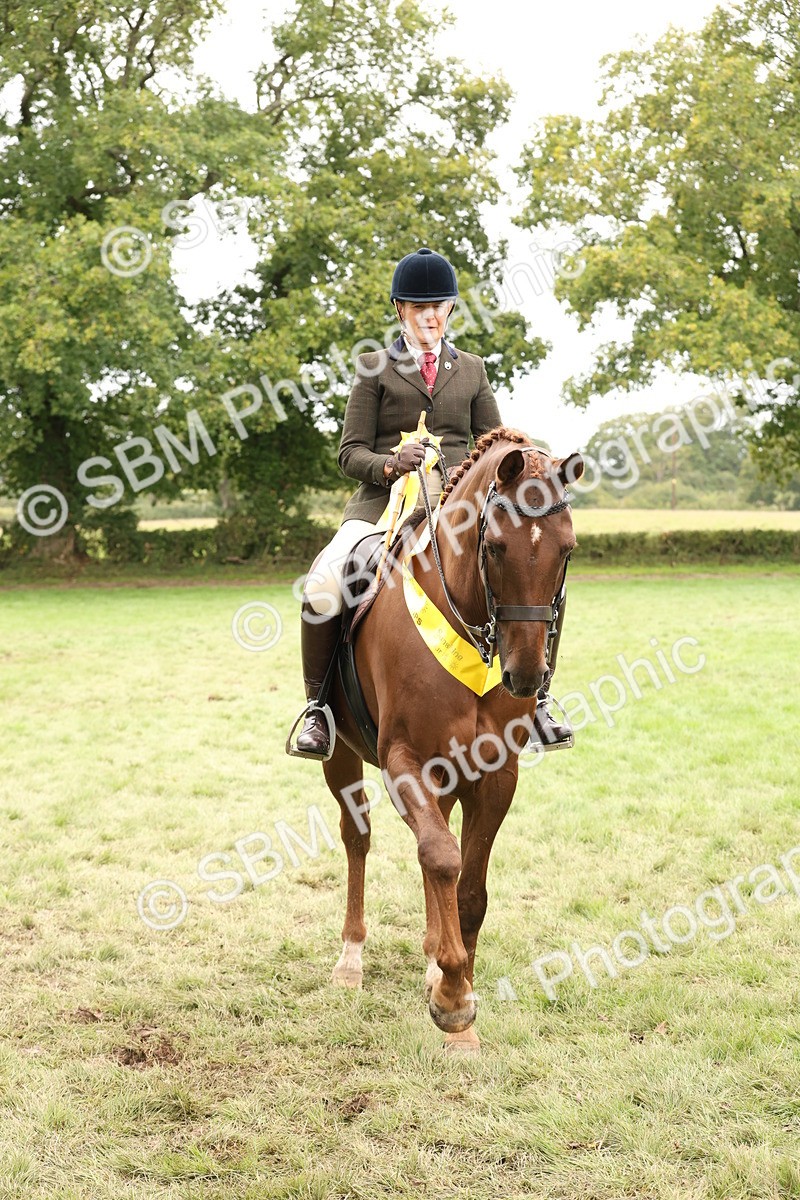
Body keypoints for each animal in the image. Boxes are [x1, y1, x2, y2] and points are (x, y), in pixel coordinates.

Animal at [320, 426, 583, 1053]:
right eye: (496, 548)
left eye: (567, 550)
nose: (524, 676)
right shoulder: (404, 761)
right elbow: (441, 858)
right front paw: (454, 1001)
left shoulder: (495, 772)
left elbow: (468, 885)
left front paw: (450, 983)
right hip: (341, 756)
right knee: (358, 840)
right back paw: (352, 959)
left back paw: (430, 958)